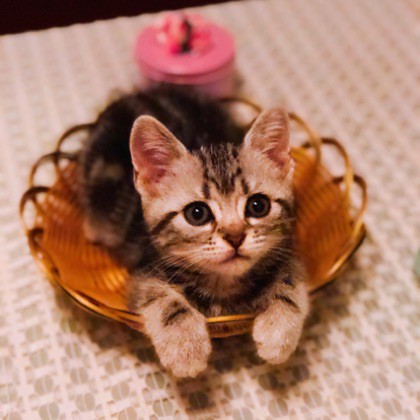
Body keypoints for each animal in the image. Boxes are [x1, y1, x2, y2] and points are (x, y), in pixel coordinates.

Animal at [79, 86, 309, 377]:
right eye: (197, 213)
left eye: (258, 206)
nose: (235, 237)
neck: (223, 284)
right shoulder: (143, 275)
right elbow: (164, 299)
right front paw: (185, 347)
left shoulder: (287, 254)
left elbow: (290, 281)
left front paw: (278, 335)